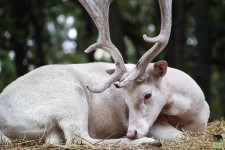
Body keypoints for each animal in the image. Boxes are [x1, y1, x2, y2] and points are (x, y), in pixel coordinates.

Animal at [0, 0, 209, 148]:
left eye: (147, 94)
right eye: (125, 100)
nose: (131, 132)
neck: (192, 110)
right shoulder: (155, 124)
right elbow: (180, 137)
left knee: (57, 140)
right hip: (70, 98)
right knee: (80, 138)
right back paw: (148, 142)